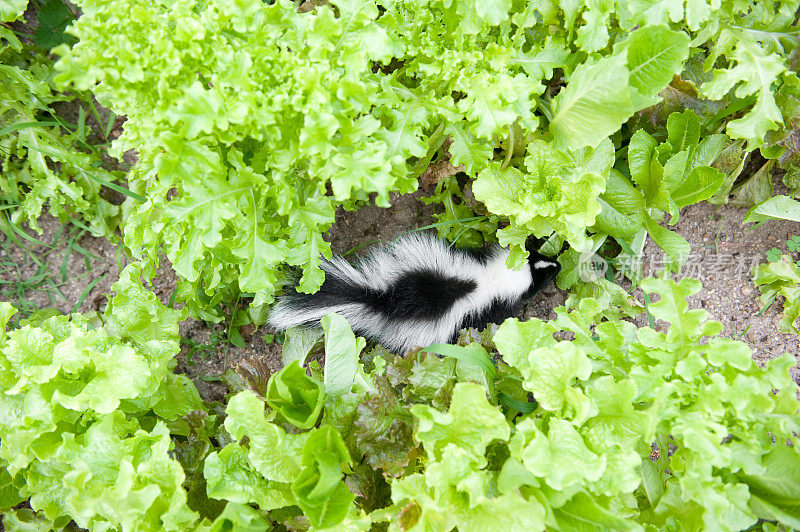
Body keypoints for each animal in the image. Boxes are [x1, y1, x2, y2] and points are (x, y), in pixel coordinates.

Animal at [266, 232, 560, 354]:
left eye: (537, 255)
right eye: (541, 281)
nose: (557, 264)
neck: (486, 279)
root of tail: (384, 298)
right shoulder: (486, 309)